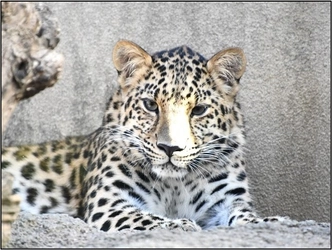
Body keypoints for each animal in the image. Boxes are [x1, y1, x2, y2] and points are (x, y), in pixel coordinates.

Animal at [0, 39, 286, 232]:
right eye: (150, 105)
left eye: (198, 110)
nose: (170, 148)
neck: (174, 185)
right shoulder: (110, 203)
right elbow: (148, 218)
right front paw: (181, 225)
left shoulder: (226, 201)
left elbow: (246, 217)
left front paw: (273, 221)